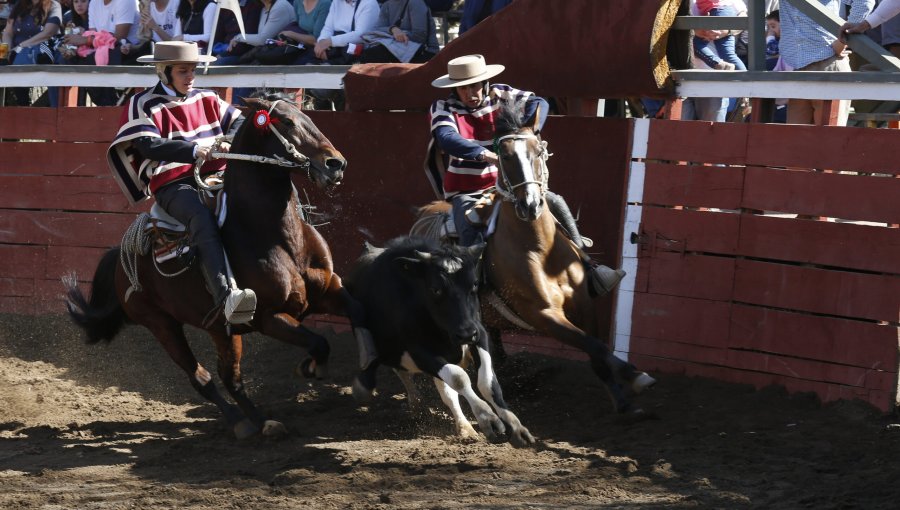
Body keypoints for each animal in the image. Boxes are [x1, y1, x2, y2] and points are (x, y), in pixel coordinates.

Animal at [63, 96, 366, 438]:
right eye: (286, 122)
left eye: (307, 116)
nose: (335, 164)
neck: (276, 236)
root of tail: (120, 255)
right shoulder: (270, 317)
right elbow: (319, 341)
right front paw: (309, 367)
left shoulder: (329, 291)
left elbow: (357, 314)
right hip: (161, 324)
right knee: (203, 378)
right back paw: (242, 423)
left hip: (221, 329)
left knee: (230, 378)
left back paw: (261, 422)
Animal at [348, 236, 536, 446]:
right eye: (436, 289)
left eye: (474, 284)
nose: (465, 334)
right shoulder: (420, 352)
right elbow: (459, 377)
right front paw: (487, 417)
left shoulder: (480, 334)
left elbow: (486, 382)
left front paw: (515, 425)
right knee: (398, 370)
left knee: (446, 392)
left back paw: (463, 427)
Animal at [414, 102, 652, 414]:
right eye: (504, 156)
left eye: (538, 151)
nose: (530, 204)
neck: (540, 250)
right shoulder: (544, 315)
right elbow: (595, 346)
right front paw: (635, 376)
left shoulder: (585, 305)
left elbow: (597, 349)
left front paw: (624, 400)